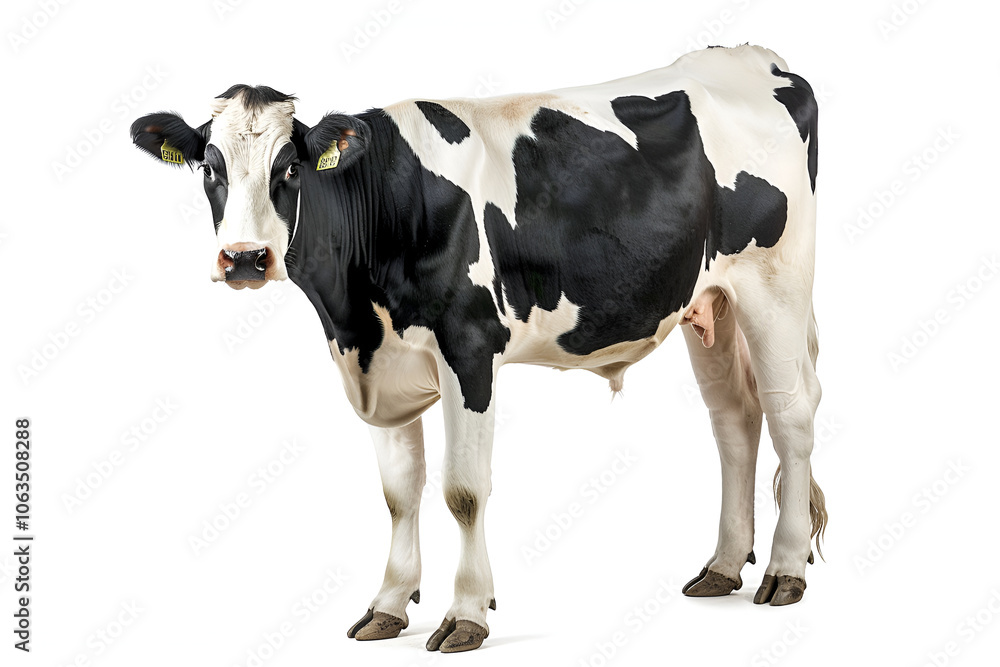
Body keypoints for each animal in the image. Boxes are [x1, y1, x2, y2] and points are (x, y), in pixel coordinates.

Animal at [131, 44, 827, 653]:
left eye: (290, 169)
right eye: (210, 168)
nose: (245, 258)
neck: (353, 312)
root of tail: (752, 56)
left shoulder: (469, 350)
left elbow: (463, 491)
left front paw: (466, 614)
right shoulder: (379, 362)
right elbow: (398, 493)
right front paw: (388, 605)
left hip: (776, 285)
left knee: (790, 414)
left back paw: (784, 571)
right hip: (710, 299)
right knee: (735, 419)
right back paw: (724, 566)